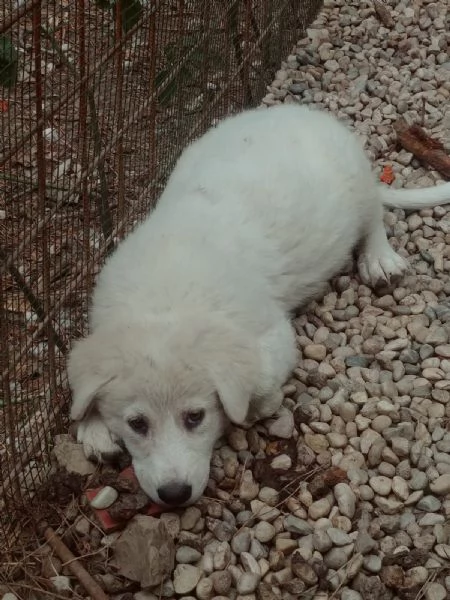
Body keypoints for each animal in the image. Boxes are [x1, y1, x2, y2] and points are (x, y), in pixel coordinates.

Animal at [67, 104, 450, 506]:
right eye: (137, 424)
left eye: (196, 417)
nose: (174, 494)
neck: (164, 302)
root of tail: (303, 111)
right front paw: (93, 426)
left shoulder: (273, 335)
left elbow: (260, 382)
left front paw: (253, 409)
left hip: (358, 185)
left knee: (374, 218)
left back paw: (379, 260)